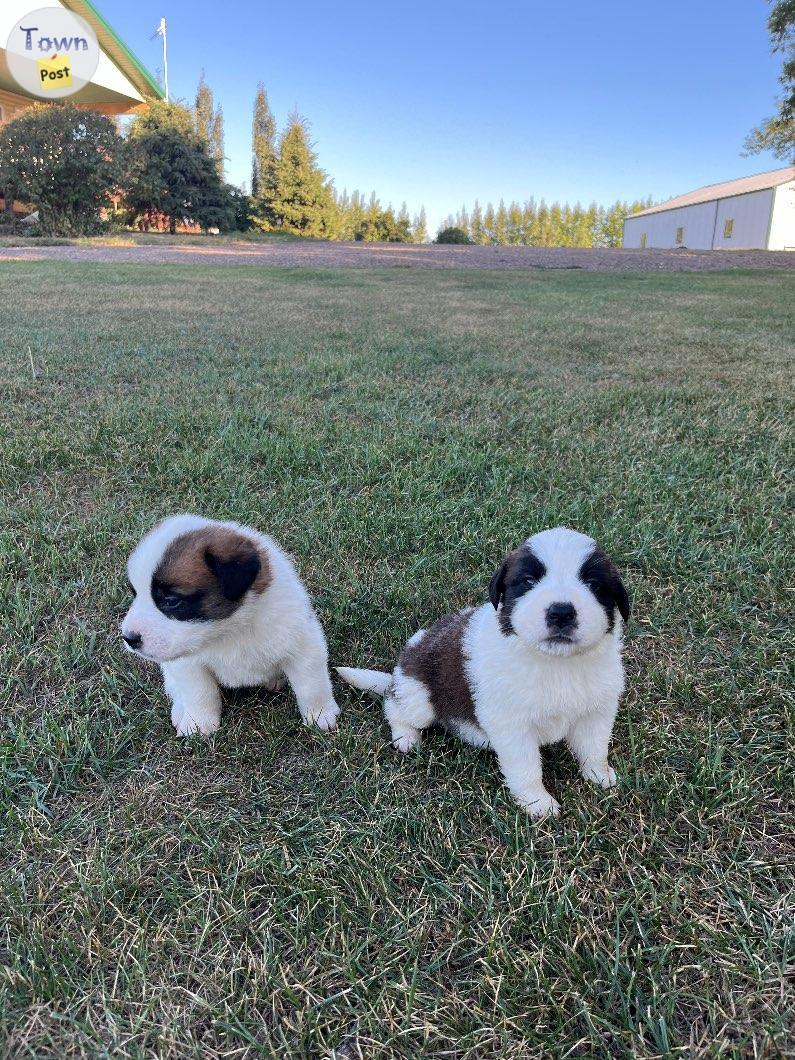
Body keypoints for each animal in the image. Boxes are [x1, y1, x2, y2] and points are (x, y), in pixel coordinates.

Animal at [121, 515, 339, 737]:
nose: (129, 637)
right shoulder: (187, 664)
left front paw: (320, 714)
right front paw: (199, 723)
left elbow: (311, 685)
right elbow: (198, 692)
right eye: (135, 593)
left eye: (172, 601)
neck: (227, 630)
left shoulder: (302, 644)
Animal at [339, 525, 631, 814]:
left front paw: (599, 776)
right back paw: (406, 736)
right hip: (418, 696)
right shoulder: (513, 725)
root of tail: (401, 667)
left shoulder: (597, 711)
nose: (561, 612)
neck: (557, 663)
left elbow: (594, 748)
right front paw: (537, 803)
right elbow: (526, 768)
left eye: (594, 585)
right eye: (528, 581)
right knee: (395, 706)